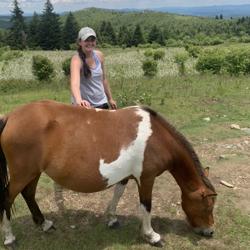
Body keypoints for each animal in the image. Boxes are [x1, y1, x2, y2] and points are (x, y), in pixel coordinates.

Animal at [0, 100, 217, 247]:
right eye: (207, 206)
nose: (210, 232)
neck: (157, 137)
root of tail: (10, 117)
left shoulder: (125, 176)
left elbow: (117, 195)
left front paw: (112, 218)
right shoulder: (146, 178)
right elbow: (146, 206)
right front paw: (152, 235)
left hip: (33, 172)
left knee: (28, 194)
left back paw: (44, 223)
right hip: (22, 174)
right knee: (7, 198)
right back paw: (9, 237)